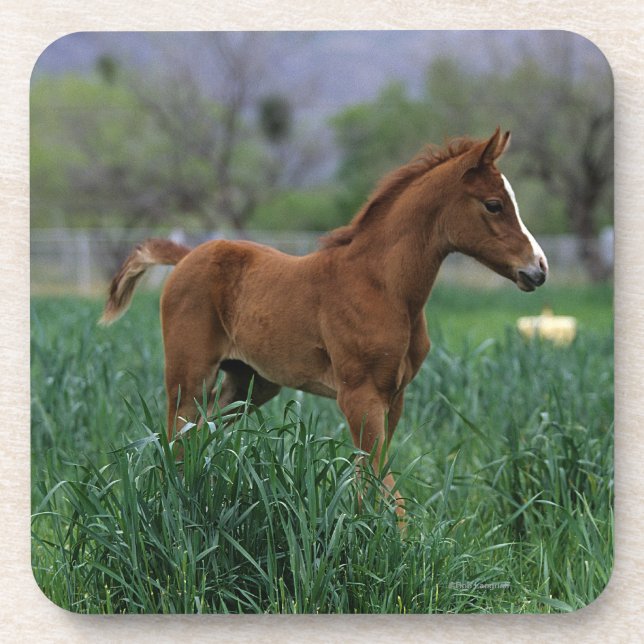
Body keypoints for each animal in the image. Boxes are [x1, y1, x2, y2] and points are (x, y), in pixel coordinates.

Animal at [100, 127, 548, 517]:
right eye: (493, 204)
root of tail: (186, 257)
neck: (383, 286)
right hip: (187, 376)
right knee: (175, 439)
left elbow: (375, 480)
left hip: (249, 383)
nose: (539, 269)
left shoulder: (394, 397)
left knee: (201, 436)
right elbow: (381, 484)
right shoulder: (359, 395)